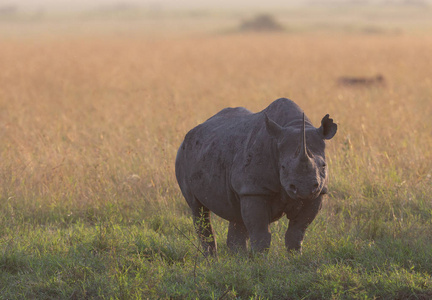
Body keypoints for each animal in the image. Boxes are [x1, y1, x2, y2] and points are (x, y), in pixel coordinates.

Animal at [174, 98, 336, 255]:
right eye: (283, 167)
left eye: (323, 166)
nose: (304, 189)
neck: (294, 124)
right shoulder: (254, 189)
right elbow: (260, 232)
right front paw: (260, 259)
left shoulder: (319, 192)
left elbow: (297, 231)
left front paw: (295, 258)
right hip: (182, 155)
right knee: (198, 209)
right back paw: (212, 259)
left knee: (236, 215)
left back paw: (238, 259)